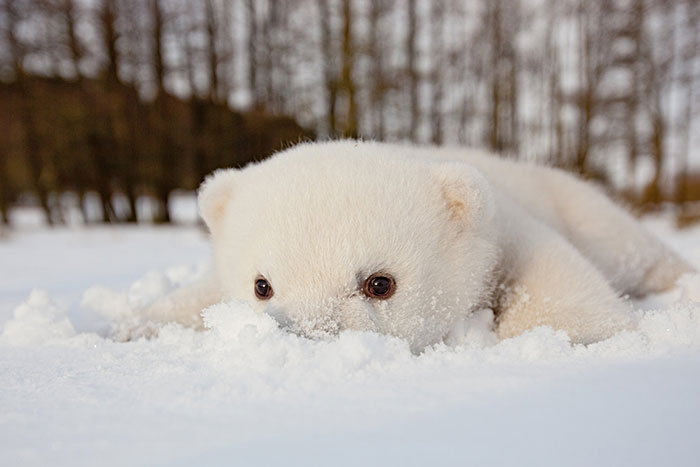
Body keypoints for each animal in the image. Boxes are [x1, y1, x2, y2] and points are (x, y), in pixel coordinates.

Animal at [144, 140, 693, 352]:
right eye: (262, 286)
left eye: (379, 283)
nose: (311, 339)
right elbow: (194, 301)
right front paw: (137, 325)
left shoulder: (508, 229)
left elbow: (555, 288)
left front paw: (576, 334)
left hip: (579, 206)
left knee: (631, 248)